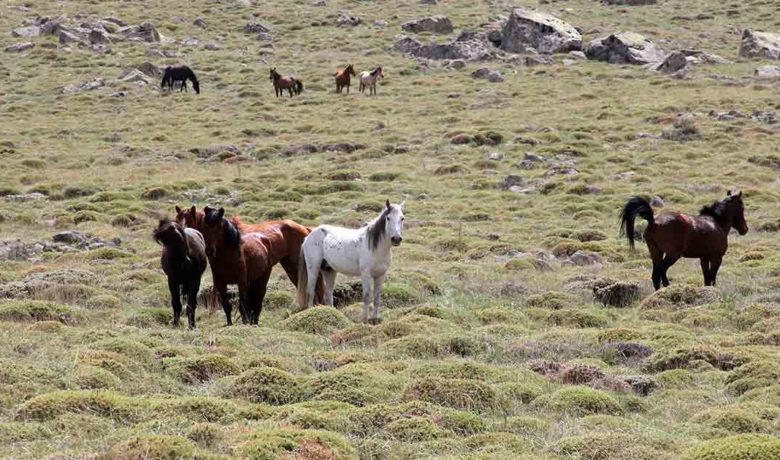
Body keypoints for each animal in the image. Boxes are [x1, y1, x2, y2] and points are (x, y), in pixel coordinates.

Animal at [619, 191, 748, 290]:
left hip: (656, 252)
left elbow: (706, 279)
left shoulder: (704, 258)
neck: (716, 223)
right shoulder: (716, 258)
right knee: (662, 271)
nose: (745, 229)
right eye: (742, 208)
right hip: (672, 255)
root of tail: (653, 221)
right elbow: (712, 278)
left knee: (655, 276)